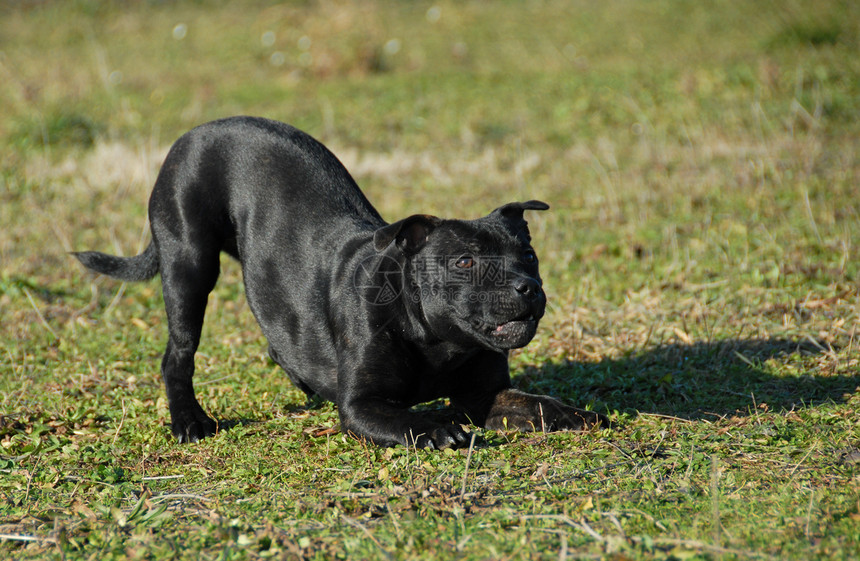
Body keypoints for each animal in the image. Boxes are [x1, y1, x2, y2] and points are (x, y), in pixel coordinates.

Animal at [77, 116, 608, 448]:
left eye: (529, 256)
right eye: (464, 262)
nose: (527, 287)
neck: (434, 338)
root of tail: (195, 133)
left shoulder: (482, 395)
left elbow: (532, 404)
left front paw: (572, 412)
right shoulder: (362, 406)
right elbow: (406, 418)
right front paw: (434, 429)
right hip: (189, 266)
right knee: (178, 354)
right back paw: (189, 421)